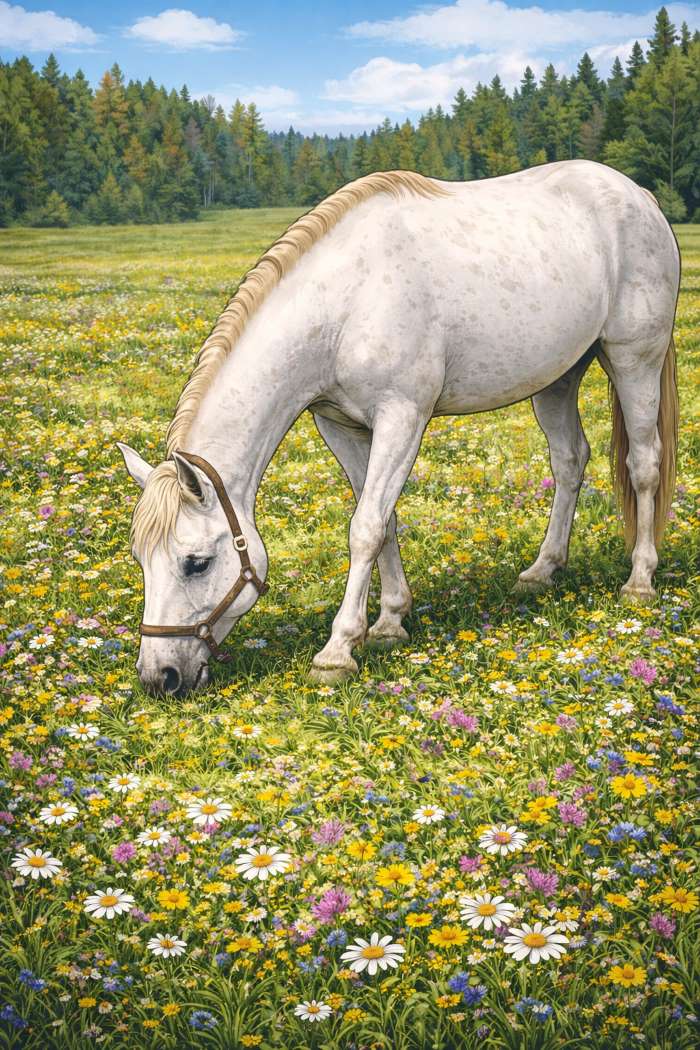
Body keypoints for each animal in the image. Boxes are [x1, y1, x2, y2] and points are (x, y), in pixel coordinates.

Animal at [118, 160, 680, 697]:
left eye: (196, 563)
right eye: (140, 558)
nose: (159, 677)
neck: (343, 303)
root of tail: (639, 196)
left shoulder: (402, 416)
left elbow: (365, 527)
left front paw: (337, 652)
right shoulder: (340, 426)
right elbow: (383, 519)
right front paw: (389, 621)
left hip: (634, 359)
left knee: (643, 464)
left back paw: (639, 581)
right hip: (558, 377)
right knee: (569, 460)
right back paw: (543, 570)